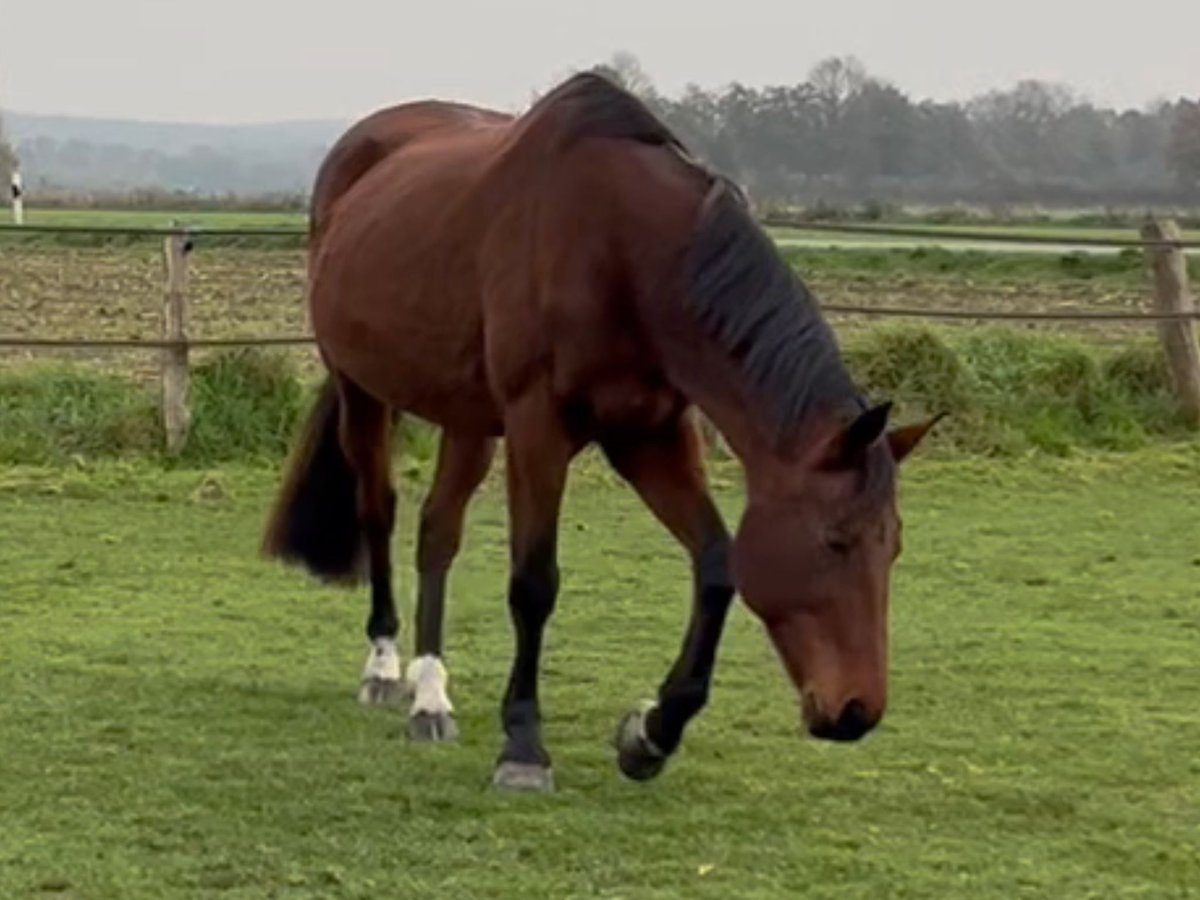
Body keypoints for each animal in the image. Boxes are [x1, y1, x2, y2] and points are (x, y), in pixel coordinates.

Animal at [260, 74, 936, 792]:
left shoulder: (650, 436)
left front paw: (651, 732)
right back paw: (387, 667)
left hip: (467, 418)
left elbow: (717, 565)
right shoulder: (538, 429)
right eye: (835, 541)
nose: (857, 710)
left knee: (437, 532)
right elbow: (533, 584)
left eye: (894, 547)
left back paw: (431, 695)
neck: (623, 251)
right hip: (361, 391)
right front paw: (524, 745)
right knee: (380, 512)